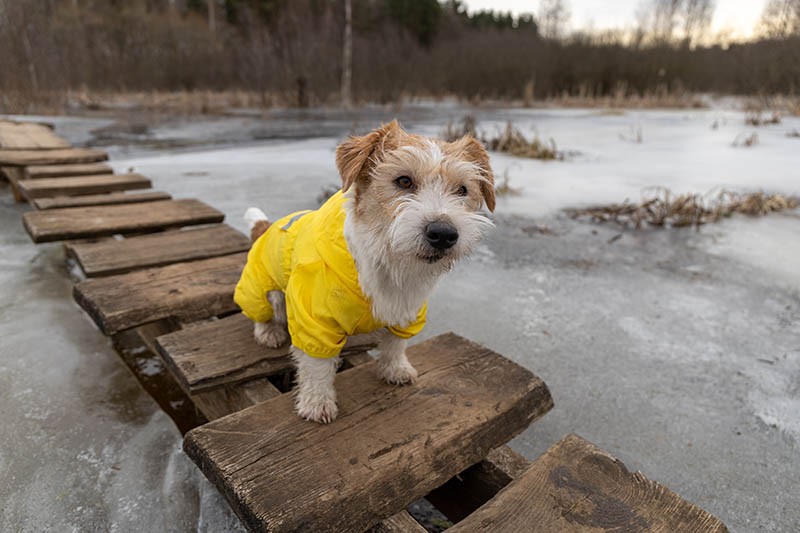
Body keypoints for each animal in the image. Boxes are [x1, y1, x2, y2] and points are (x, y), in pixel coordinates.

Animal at [231, 120, 494, 424]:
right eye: (404, 181)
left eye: (462, 189)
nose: (443, 234)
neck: (387, 262)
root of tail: (267, 227)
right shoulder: (314, 321)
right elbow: (317, 366)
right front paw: (317, 402)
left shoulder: (408, 311)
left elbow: (395, 344)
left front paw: (396, 369)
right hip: (261, 288)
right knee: (261, 312)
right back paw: (268, 332)